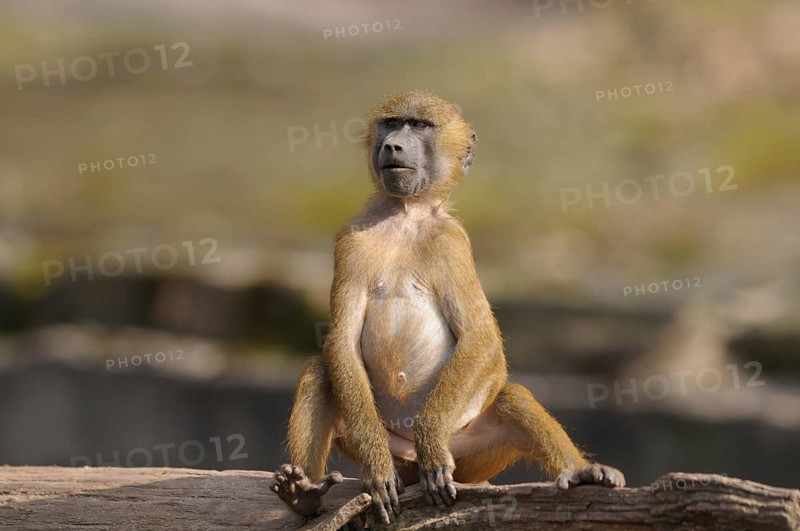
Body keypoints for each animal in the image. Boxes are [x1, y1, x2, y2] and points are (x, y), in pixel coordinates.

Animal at [271, 90, 625, 525]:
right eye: (392, 123)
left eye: (420, 126)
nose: (393, 146)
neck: (405, 214)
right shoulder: (350, 240)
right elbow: (341, 341)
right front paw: (375, 466)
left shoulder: (452, 242)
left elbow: (480, 338)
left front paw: (430, 435)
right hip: (393, 452)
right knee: (319, 371)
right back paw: (303, 493)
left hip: (470, 455)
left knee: (511, 398)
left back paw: (580, 472)